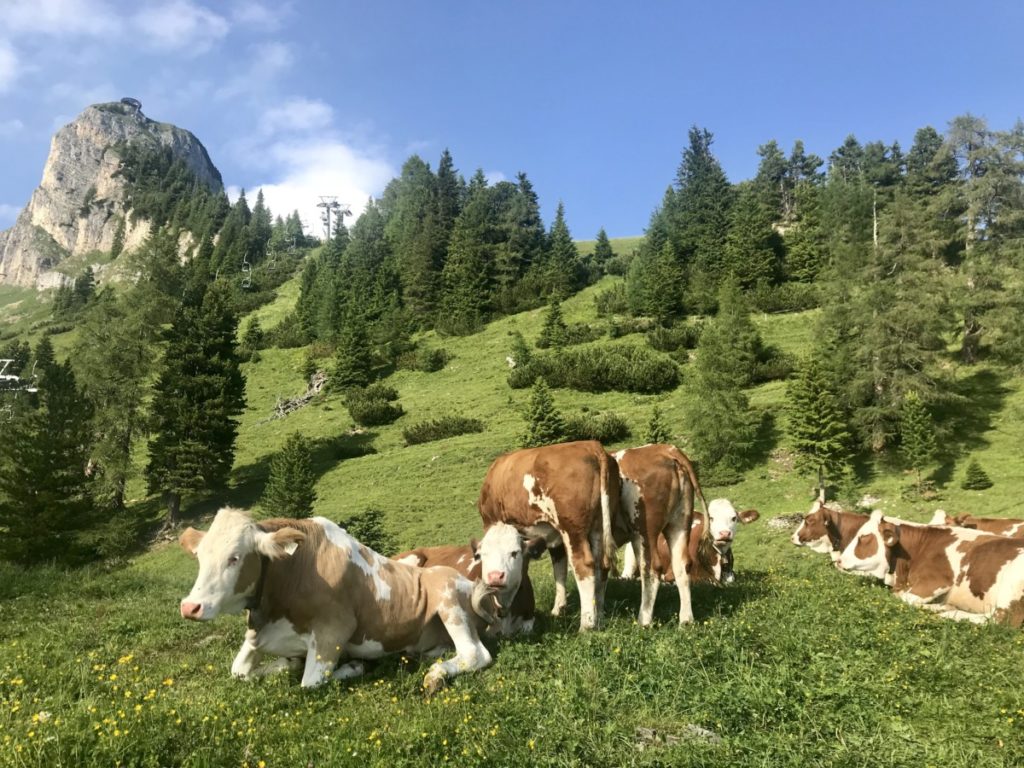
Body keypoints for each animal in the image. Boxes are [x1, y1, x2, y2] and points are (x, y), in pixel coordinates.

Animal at [181, 507, 499, 696]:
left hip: (447, 596)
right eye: (199, 557)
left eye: (234, 558)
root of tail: (468, 581)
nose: (190, 607)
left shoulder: (333, 630)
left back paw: (436, 674)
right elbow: (239, 671)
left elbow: (309, 683)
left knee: (475, 654)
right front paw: (287, 664)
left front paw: (353, 667)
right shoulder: (259, 634)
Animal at [475, 438, 618, 630]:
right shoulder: (554, 537)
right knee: (601, 565)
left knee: (584, 566)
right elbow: (559, 569)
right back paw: (599, 616)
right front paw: (558, 609)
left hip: (573, 528)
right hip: (599, 526)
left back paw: (586, 625)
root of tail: (591, 446)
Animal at [835, 512, 1024, 626]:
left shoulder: (936, 581)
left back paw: (947, 612)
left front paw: (939, 607)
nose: (838, 560)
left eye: (863, 537)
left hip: (1010, 587)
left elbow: (903, 599)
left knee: (998, 621)